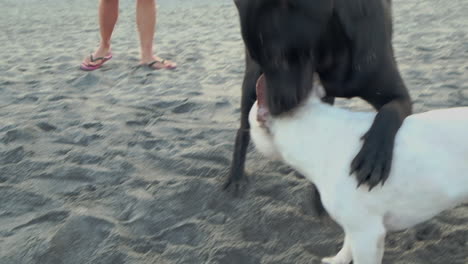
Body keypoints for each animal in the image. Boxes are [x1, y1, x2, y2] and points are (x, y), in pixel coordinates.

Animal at [225, 0, 412, 198]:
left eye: (277, 58)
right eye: (258, 58)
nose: (274, 110)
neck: (332, 52)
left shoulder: (398, 95)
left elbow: (388, 112)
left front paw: (374, 157)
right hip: (250, 83)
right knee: (242, 129)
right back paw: (236, 177)